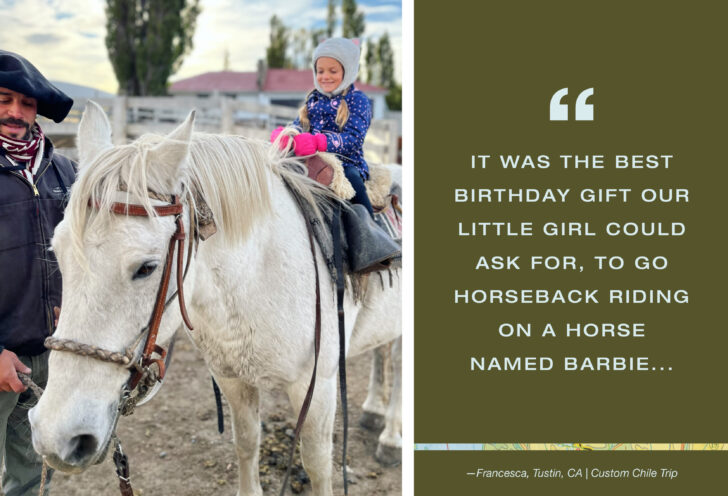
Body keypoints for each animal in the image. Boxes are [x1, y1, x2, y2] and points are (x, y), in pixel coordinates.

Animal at [28, 102, 400, 494]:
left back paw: (390, 438)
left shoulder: (318, 388)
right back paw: (373, 412)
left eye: (146, 267)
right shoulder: (231, 379)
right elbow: (247, 442)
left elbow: (317, 465)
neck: (261, 273)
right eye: (58, 253)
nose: (54, 436)